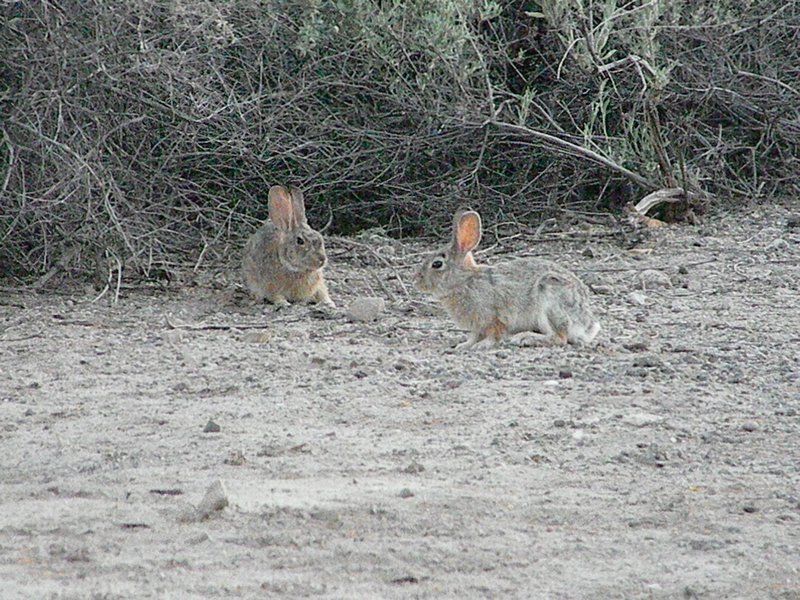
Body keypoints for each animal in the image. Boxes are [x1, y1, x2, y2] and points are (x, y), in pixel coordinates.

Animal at [416, 211, 596, 352]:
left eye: (437, 264)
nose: (416, 281)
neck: (464, 280)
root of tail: (587, 325)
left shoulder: (493, 318)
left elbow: (494, 335)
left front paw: (482, 346)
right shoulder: (477, 326)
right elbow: (474, 336)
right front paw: (464, 345)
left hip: (550, 300)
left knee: (560, 337)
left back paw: (524, 338)